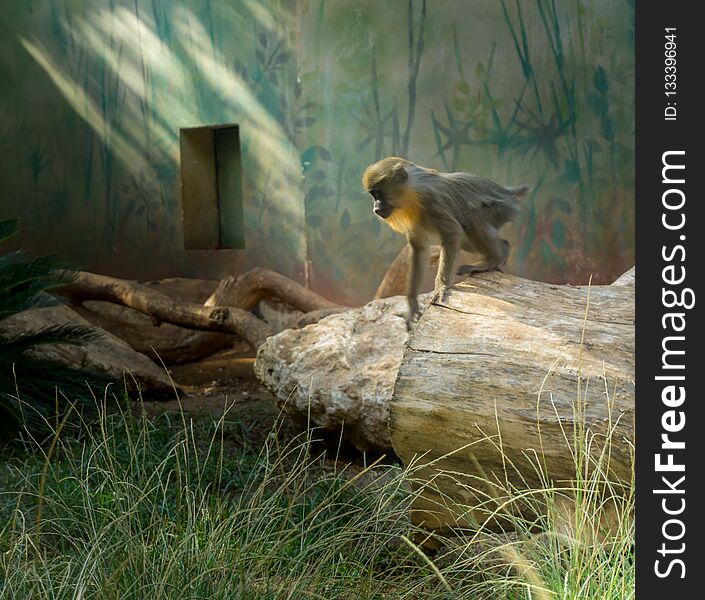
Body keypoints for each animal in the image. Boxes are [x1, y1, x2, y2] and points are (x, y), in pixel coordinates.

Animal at [364, 158, 528, 328]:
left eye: (378, 193)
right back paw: (501, 252)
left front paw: (442, 286)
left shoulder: (432, 200)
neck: (413, 190)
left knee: (473, 217)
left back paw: (494, 259)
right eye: (374, 195)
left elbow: (452, 232)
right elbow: (420, 248)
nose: (376, 208)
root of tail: (507, 192)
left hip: (500, 210)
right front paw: (412, 302)